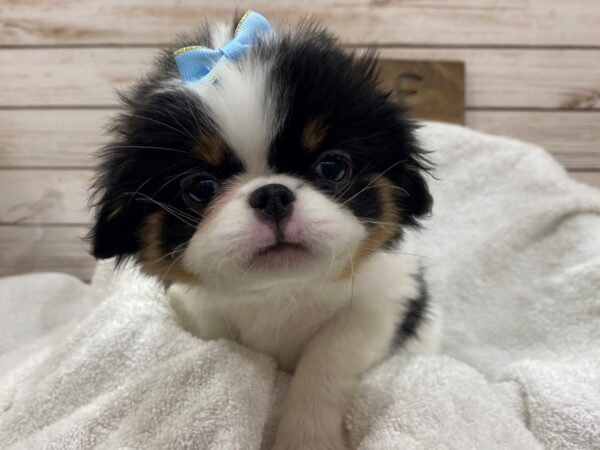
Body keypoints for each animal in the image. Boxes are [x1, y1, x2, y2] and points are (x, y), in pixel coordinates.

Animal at [91, 11, 440, 450]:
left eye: (332, 167)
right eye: (200, 188)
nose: (272, 194)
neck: (282, 291)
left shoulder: (379, 303)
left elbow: (325, 361)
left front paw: (307, 438)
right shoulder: (206, 319)